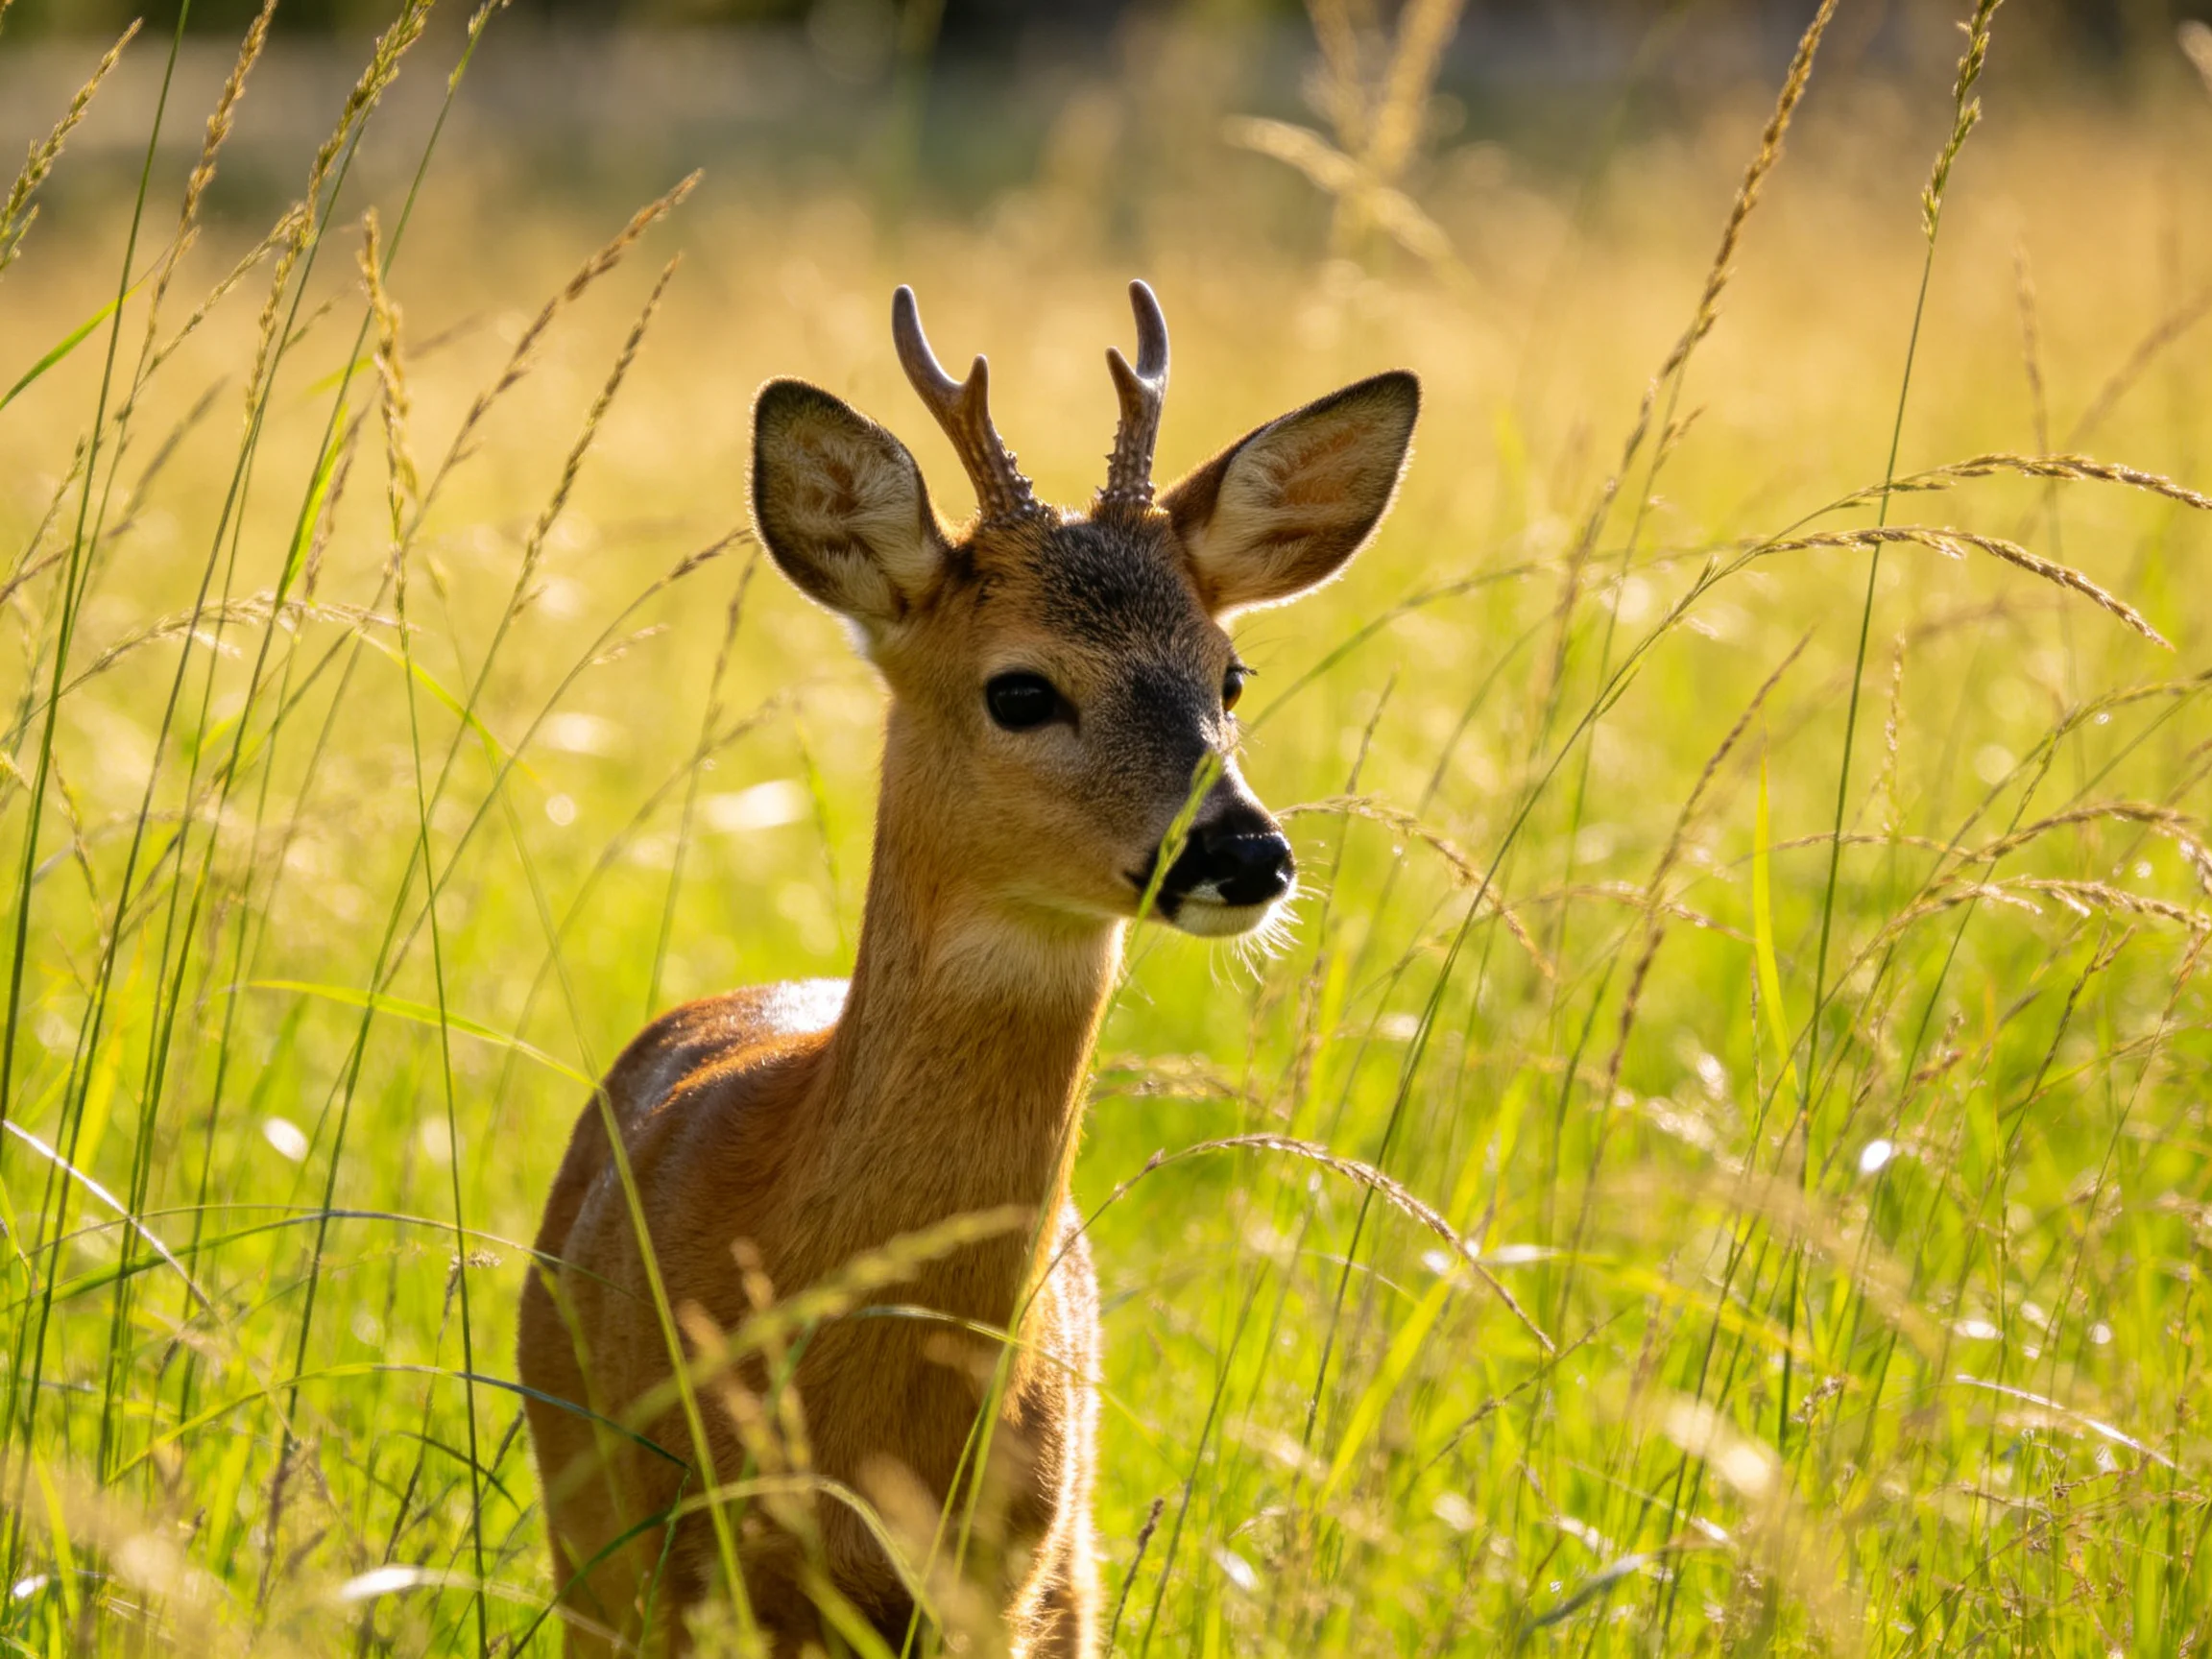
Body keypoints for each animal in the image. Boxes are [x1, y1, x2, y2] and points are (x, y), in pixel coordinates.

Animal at [516, 279, 1418, 1657]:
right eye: (1021, 690)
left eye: (1231, 673)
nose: (1245, 851)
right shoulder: (679, 1557)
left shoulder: (1000, 1571)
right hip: (588, 1553)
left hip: (1073, 1568)